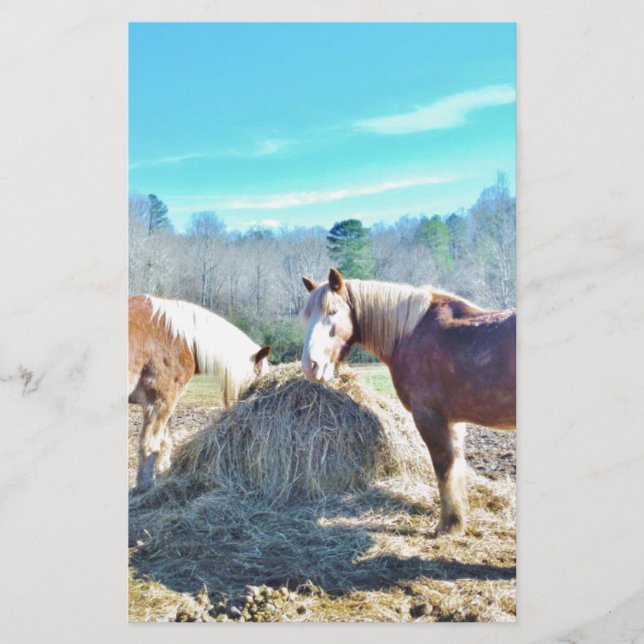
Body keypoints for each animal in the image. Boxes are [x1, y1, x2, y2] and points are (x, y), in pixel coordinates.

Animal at [128, 294, 271, 491]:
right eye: (258, 377)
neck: (178, 337)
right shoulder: (160, 402)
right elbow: (150, 444)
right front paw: (147, 486)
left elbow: (165, 440)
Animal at [300, 268, 515, 534]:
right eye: (308, 316)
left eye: (333, 312)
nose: (310, 366)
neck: (411, 332)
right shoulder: (453, 422)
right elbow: (456, 467)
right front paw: (457, 519)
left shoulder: (429, 417)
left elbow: (444, 469)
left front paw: (447, 525)